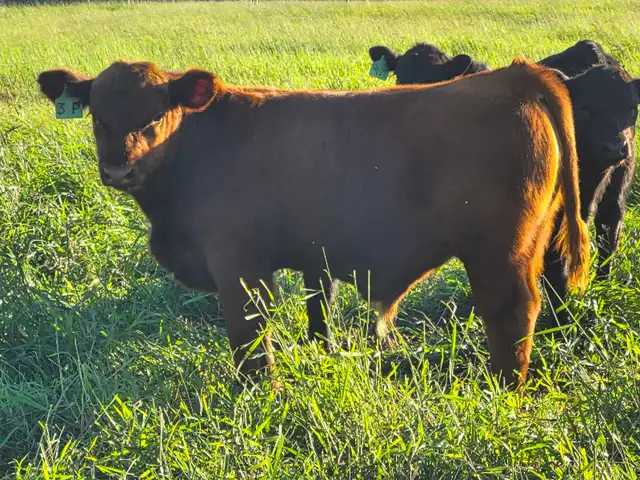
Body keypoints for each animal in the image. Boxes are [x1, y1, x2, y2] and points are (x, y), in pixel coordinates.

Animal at [38, 57, 589, 387]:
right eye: (98, 117)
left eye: (154, 117)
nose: (118, 170)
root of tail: (515, 76)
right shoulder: (310, 259)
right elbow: (316, 313)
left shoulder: (239, 267)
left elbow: (249, 339)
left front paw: (259, 394)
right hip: (534, 245)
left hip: (500, 253)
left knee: (512, 312)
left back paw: (503, 387)